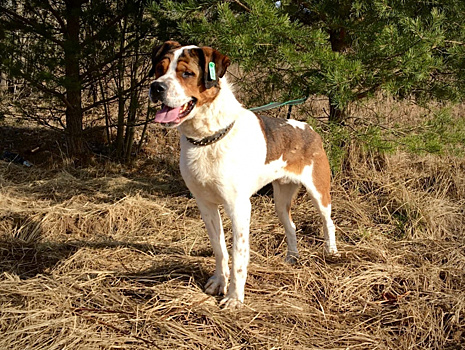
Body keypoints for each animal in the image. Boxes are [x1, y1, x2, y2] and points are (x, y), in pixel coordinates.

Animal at [149, 41, 338, 308]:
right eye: (159, 69)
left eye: (186, 73)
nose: (156, 87)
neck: (208, 138)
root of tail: (309, 128)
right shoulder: (206, 205)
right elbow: (219, 249)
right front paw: (219, 283)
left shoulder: (238, 207)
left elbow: (238, 255)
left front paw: (234, 298)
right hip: (281, 200)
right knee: (290, 225)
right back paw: (291, 257)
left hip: (319, 192)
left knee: (328, 222)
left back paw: (331, 252)